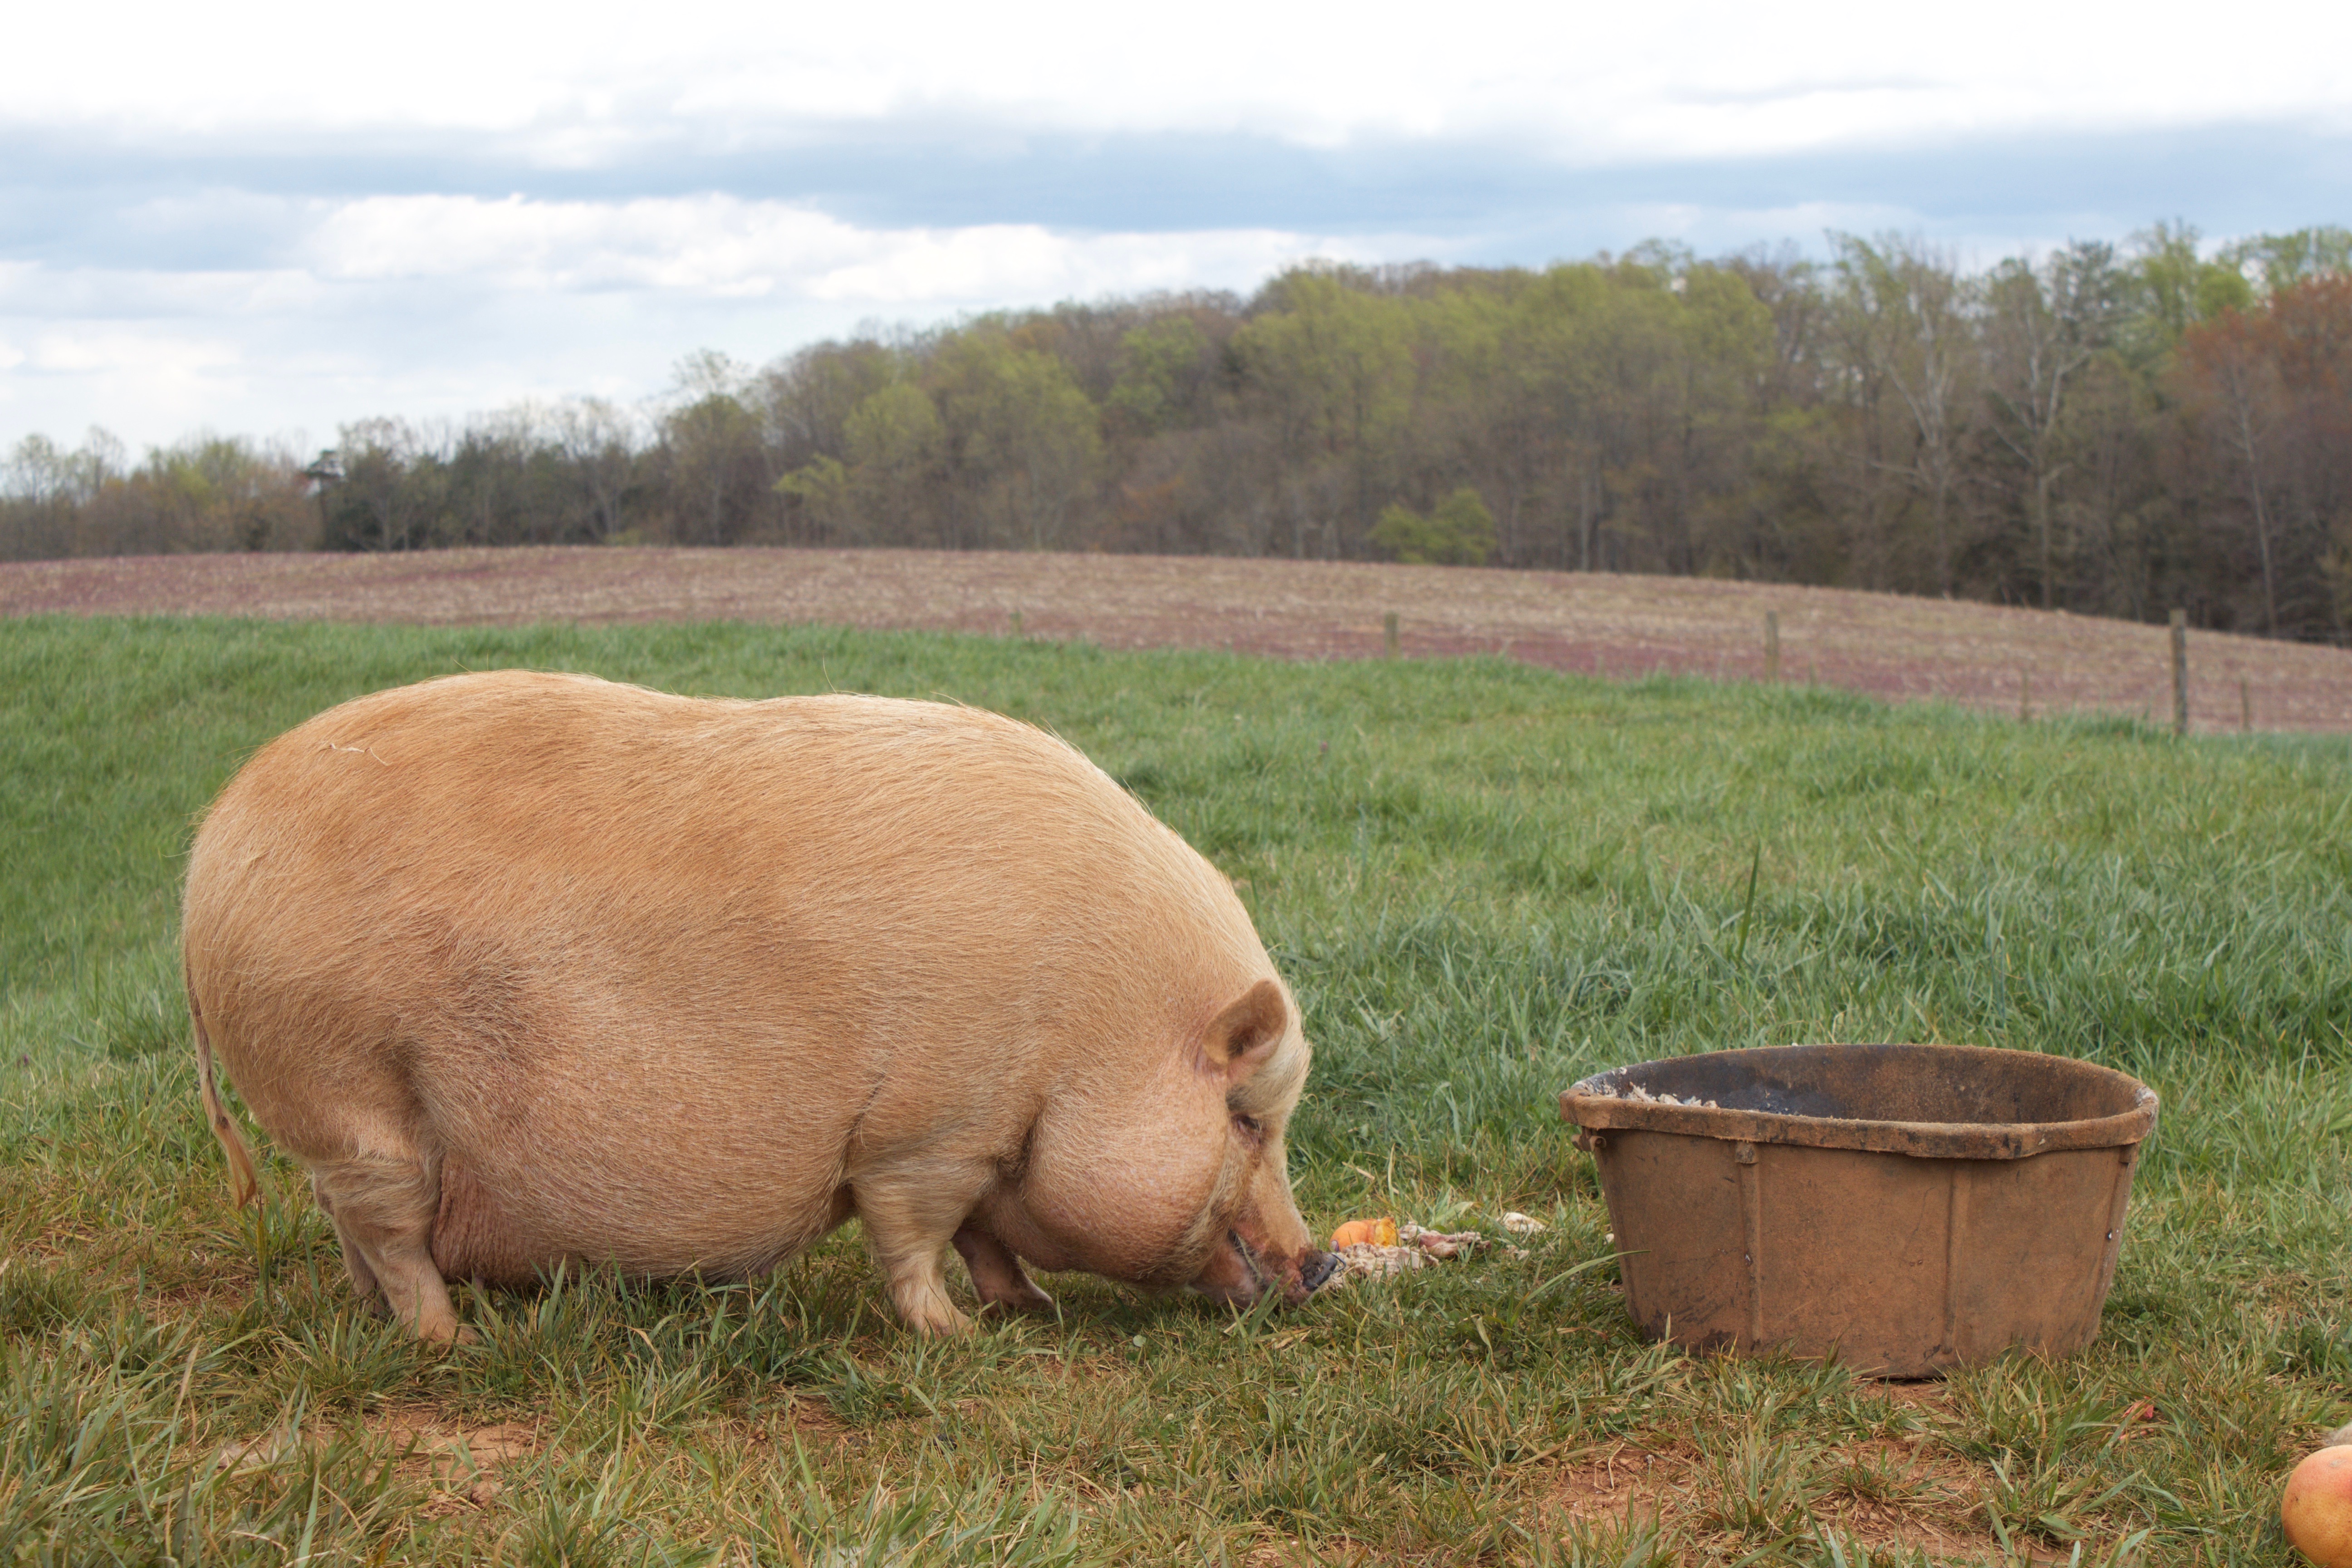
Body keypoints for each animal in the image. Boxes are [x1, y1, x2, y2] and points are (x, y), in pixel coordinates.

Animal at [182, 670, 1337, 1342]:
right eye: (1247, 1117)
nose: (1323, 1260)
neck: (1088, 1039)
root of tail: (208, 855)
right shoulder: (929, 1127)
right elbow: (916, 1233)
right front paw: (959, 1338)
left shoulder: (986, 1137)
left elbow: (984, 1235)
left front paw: (1029, 1309)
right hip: (344, 1081)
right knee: (387, 1227)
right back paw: (448, 1340)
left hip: (337, 1111)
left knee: (354, 1228)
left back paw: (392, 1321)